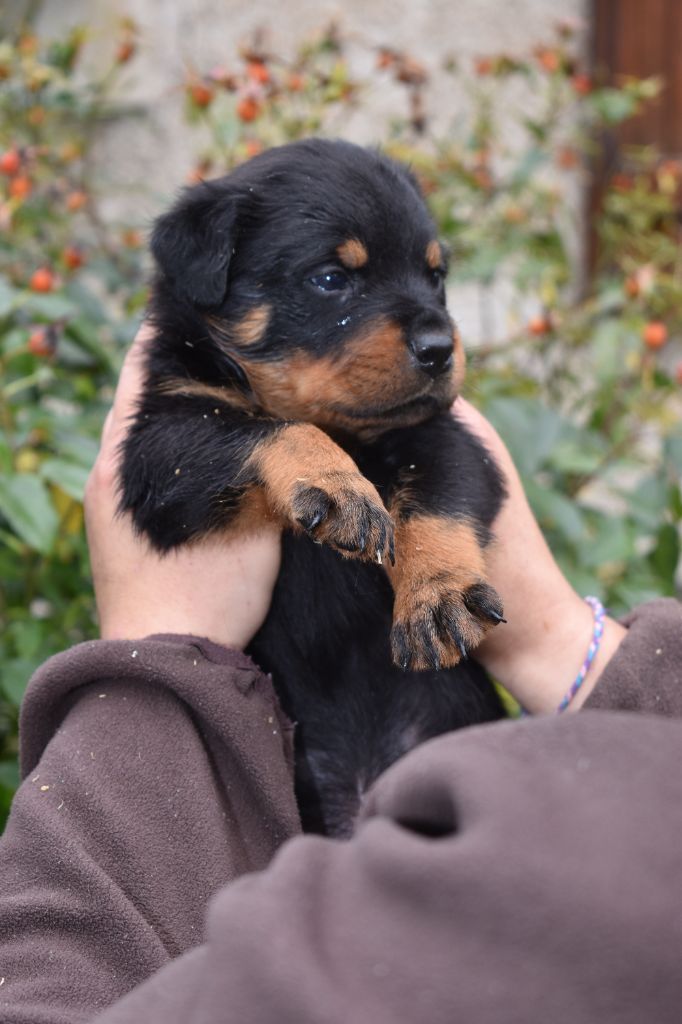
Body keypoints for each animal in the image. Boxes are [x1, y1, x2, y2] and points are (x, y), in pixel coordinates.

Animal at [120, 136, 503, 835]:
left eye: (436, 276)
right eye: (331, 279)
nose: (440, 346)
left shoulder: (448, 436)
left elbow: (439, 500)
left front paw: (438, 593)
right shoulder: (160, 443)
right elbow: (272, 429)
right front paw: (336, 484)